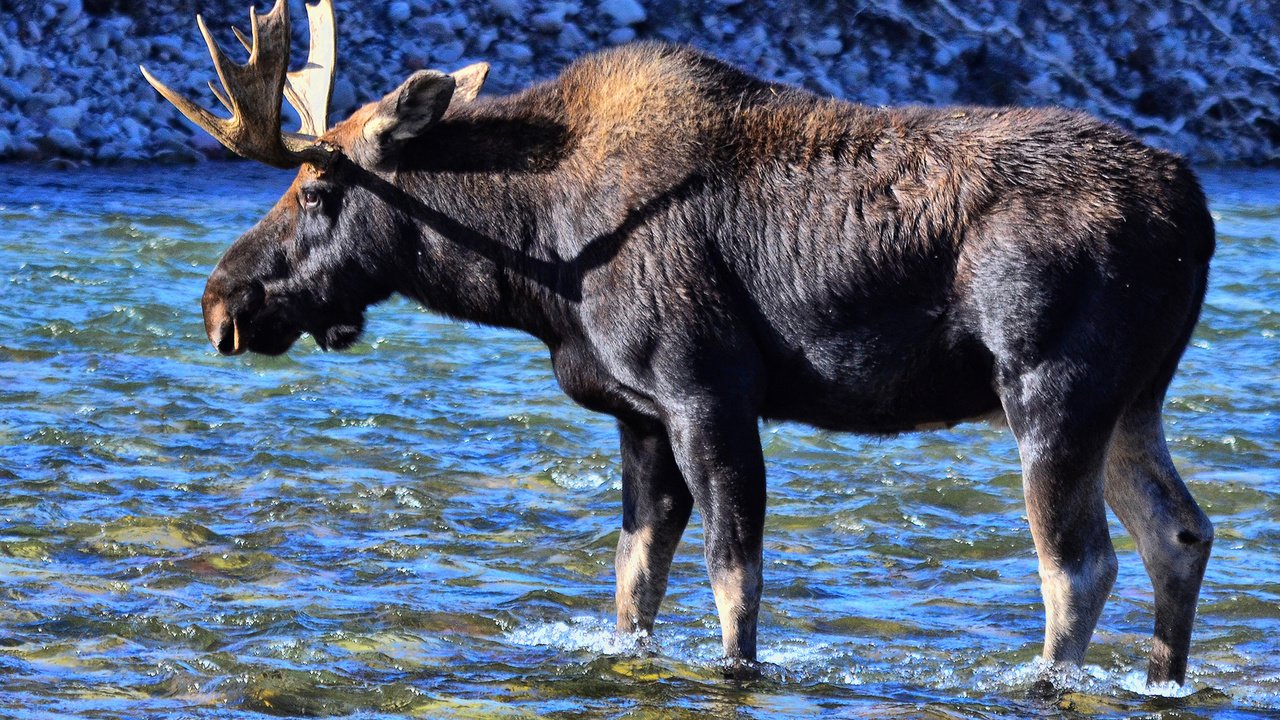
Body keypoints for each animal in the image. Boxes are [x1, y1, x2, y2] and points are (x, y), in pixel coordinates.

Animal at [145, 0, 1213, 681]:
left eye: (318, 189)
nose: (221, 303)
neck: (537, 259)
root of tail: (1196, 215)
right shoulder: (639, 416)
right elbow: (635, 586)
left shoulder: (707, 390)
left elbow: (733, 583)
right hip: (1133, 400)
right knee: (1180, 533)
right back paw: (1161, 680)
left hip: (1049, 387)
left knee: (1079, 566)